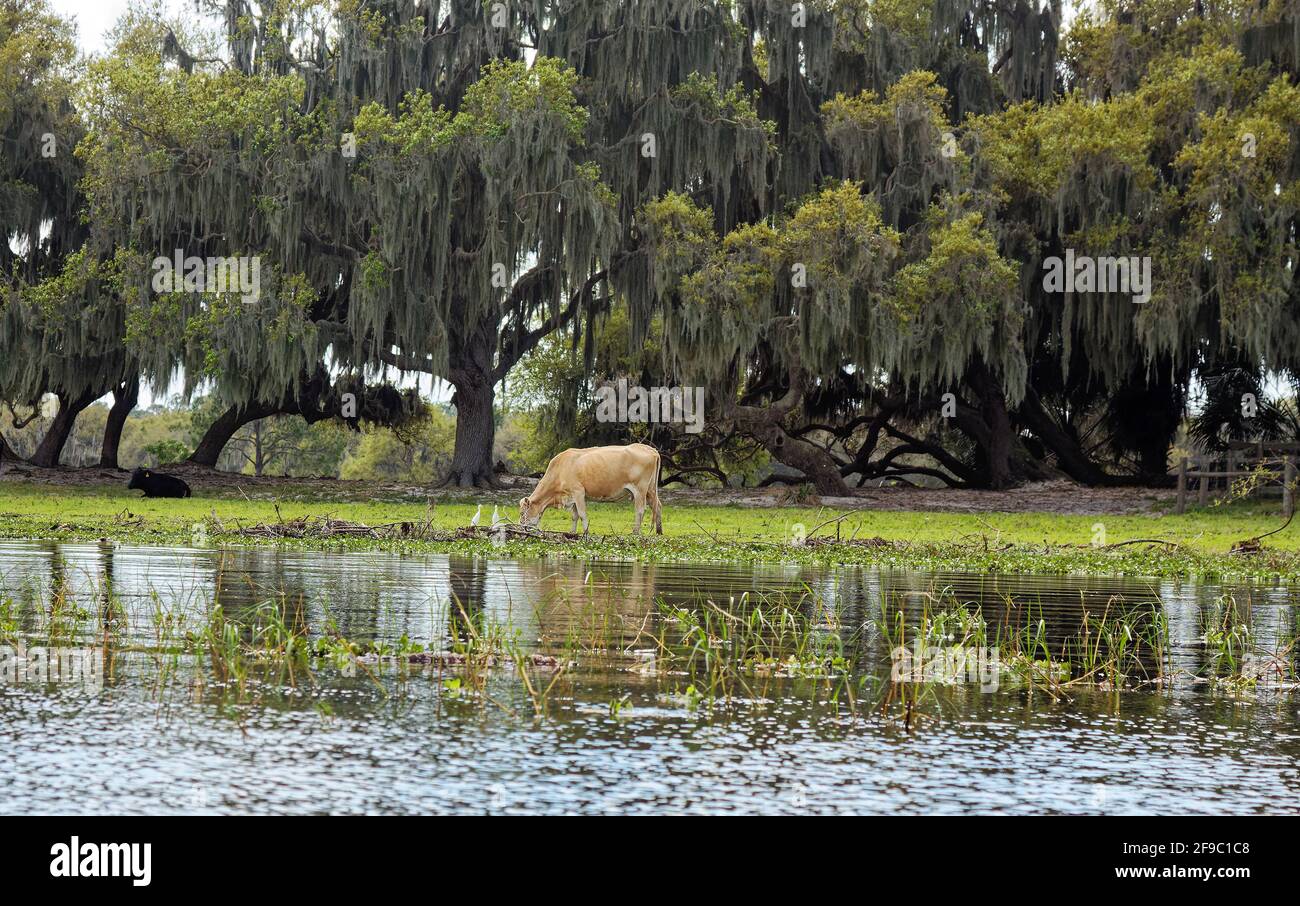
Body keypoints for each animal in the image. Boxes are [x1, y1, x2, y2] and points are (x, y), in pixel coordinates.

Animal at [519, 443, 662, 535]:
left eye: (521, 513)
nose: (521, 527)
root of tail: (649, 448)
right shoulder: (572, 496)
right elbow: (574, 516)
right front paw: (572, 532)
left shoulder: (578, 492)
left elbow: (582, 514)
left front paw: (586, 532)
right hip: (650, 490)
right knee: (658, 506)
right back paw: (659, 531)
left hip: (640, 490)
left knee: (640, 510)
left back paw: (635, 532)